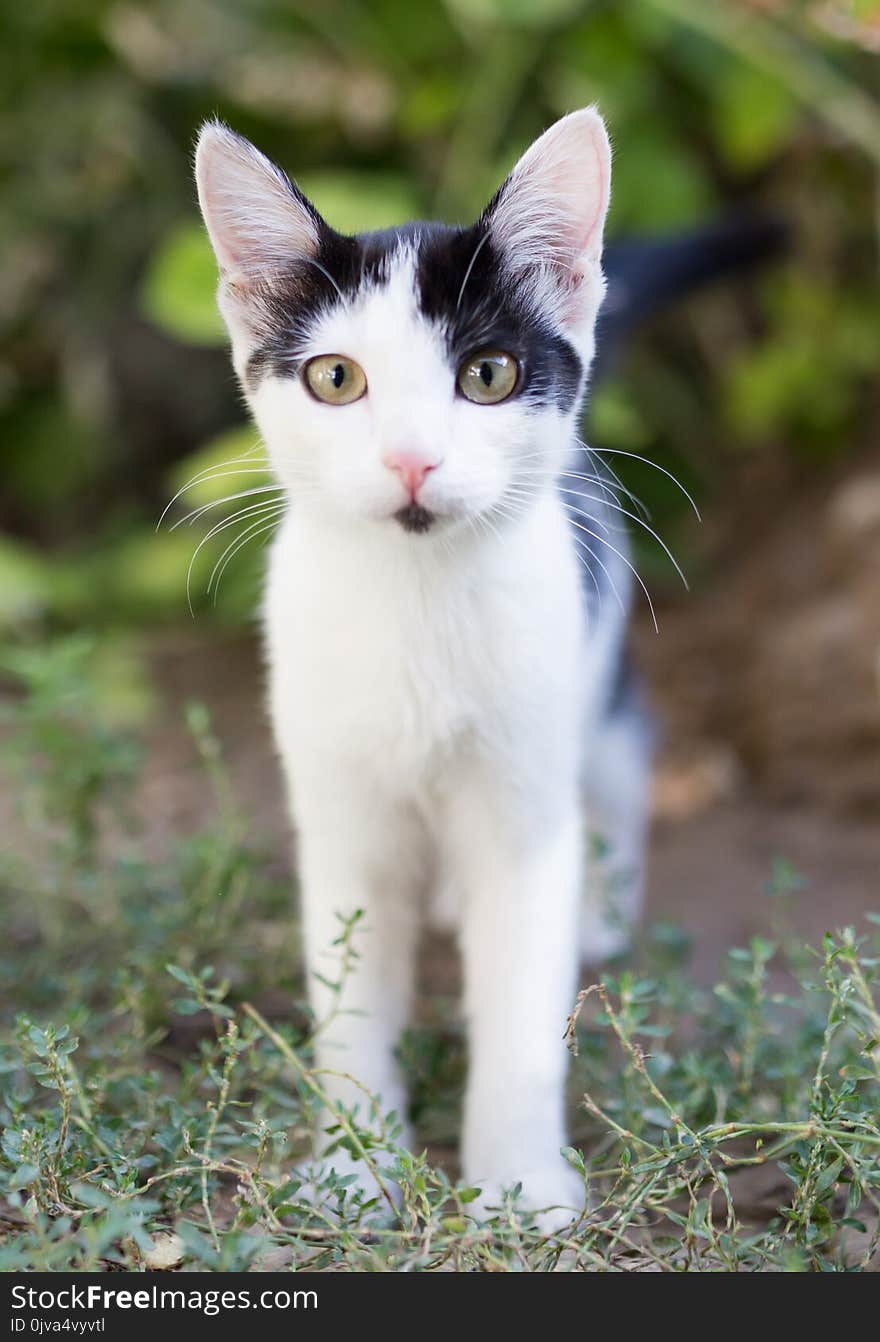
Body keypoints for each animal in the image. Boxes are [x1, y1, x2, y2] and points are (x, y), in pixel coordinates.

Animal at [193, 107, 649, 1229]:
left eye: (487, 375)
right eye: (335, 378)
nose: (410, 459)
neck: (418, 603)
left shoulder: (525, 808)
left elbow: (523, 1006)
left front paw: (519, 1184)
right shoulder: (338, 813)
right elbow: (352, 994)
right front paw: (355, 1170)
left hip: (596, 667)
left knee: (624, 773)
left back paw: (605, 913)